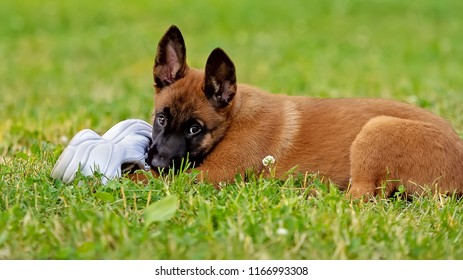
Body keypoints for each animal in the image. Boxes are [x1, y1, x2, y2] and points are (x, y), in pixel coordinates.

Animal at [138, 25, 463, 198]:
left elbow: (152, 179)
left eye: (195, 128)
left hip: (376, 130)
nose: (158, 161)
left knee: (361, 197)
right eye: (161, 119)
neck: (233, 120)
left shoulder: (209, 175)